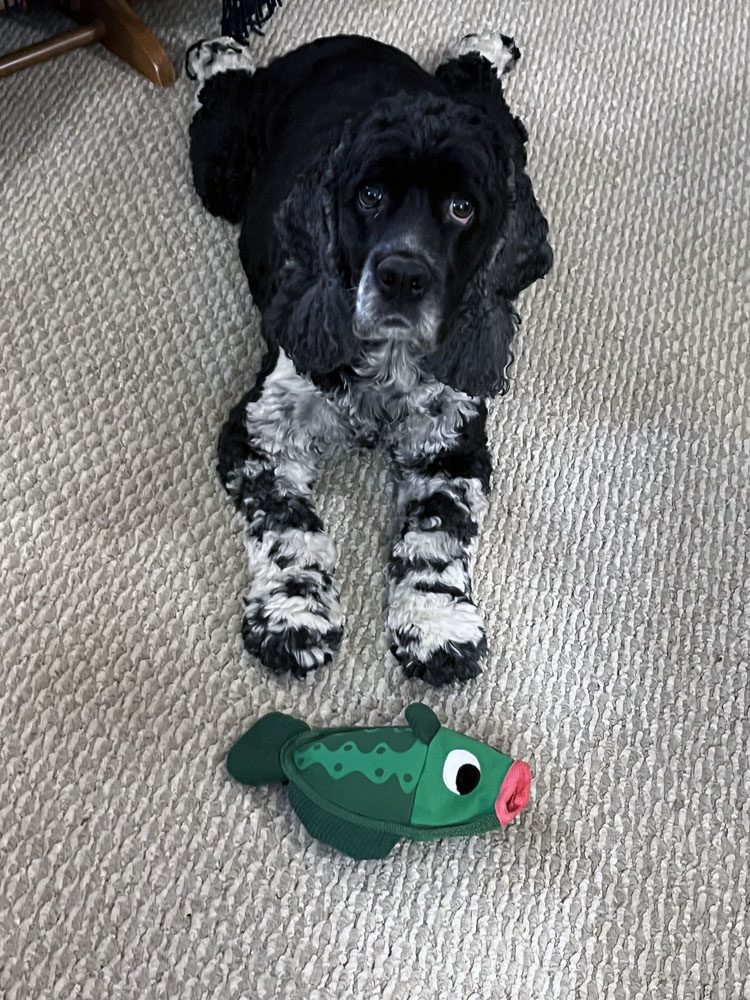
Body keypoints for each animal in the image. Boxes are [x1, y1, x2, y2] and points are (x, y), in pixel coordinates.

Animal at [188, 33, 552, 688]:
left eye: (462, 208)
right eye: (370, 196)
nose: (402, 275)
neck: (387, 365)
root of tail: (345, 41)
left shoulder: (450, 441)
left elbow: (437, 532)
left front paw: (437, 627)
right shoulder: (259, 432)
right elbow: (287, 525)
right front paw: (292, 616)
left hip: (503, 142)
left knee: (484, 95)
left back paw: (486, 45)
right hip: (222, 170)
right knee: (221, 101)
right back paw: (218, 52)